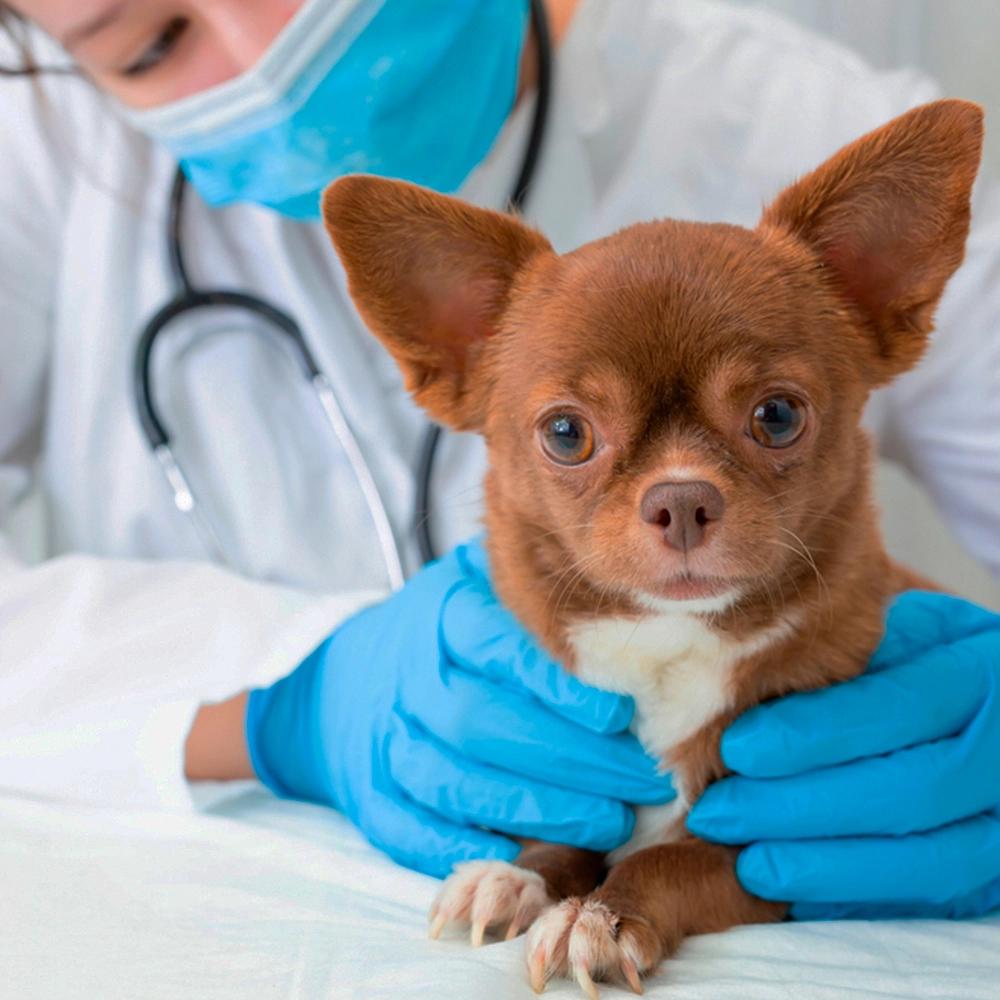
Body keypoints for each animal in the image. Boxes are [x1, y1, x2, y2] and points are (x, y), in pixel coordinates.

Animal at [322, 101, 984, 992]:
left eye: (778, 415)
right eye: (567, 434)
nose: (681, 498)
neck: (672, 644)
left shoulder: (782, 848)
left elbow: (670, 860)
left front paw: (598, 918)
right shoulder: (575, 780)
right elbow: (564, 825)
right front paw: (515, 874)